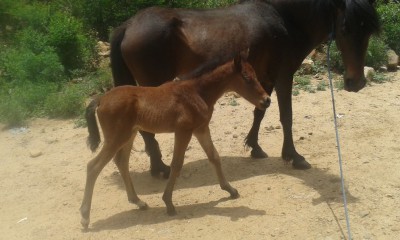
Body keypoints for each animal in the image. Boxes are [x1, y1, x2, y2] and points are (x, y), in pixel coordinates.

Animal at [79, 51, 270, 228]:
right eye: (247, 77)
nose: (266, 100)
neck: (196, 92)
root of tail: (100, 99)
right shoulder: (183, 131)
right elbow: (177, 164)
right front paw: (169, 203)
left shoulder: (201, 129)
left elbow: (214, 157)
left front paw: (230, 190)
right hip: (116, 137)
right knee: (93, 166)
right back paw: (85, 217)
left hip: (129, 135)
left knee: (121, 162)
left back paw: (138, 202)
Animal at [109, 0, 378, 176]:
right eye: (345, 28)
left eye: (370, 29)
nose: (356, 82)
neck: (284, 20)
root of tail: (129, 25)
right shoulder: (284, 77)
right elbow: (286, 117)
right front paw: (294, 156)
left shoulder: (265, 79)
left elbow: (260, 112)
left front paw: (255, 147)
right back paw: (160, 168)